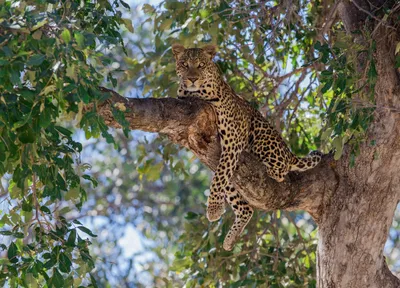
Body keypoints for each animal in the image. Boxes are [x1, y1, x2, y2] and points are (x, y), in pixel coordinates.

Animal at [172, 44, 322, 251]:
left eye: (201, 65)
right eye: (184, 64)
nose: (192, 79)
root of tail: (289, 152)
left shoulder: (232, 143)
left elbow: (218, 179)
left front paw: (214, 209)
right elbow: (219, 178)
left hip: (260, 134)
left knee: (280, 171)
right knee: (245, 208)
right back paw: (230, 239)